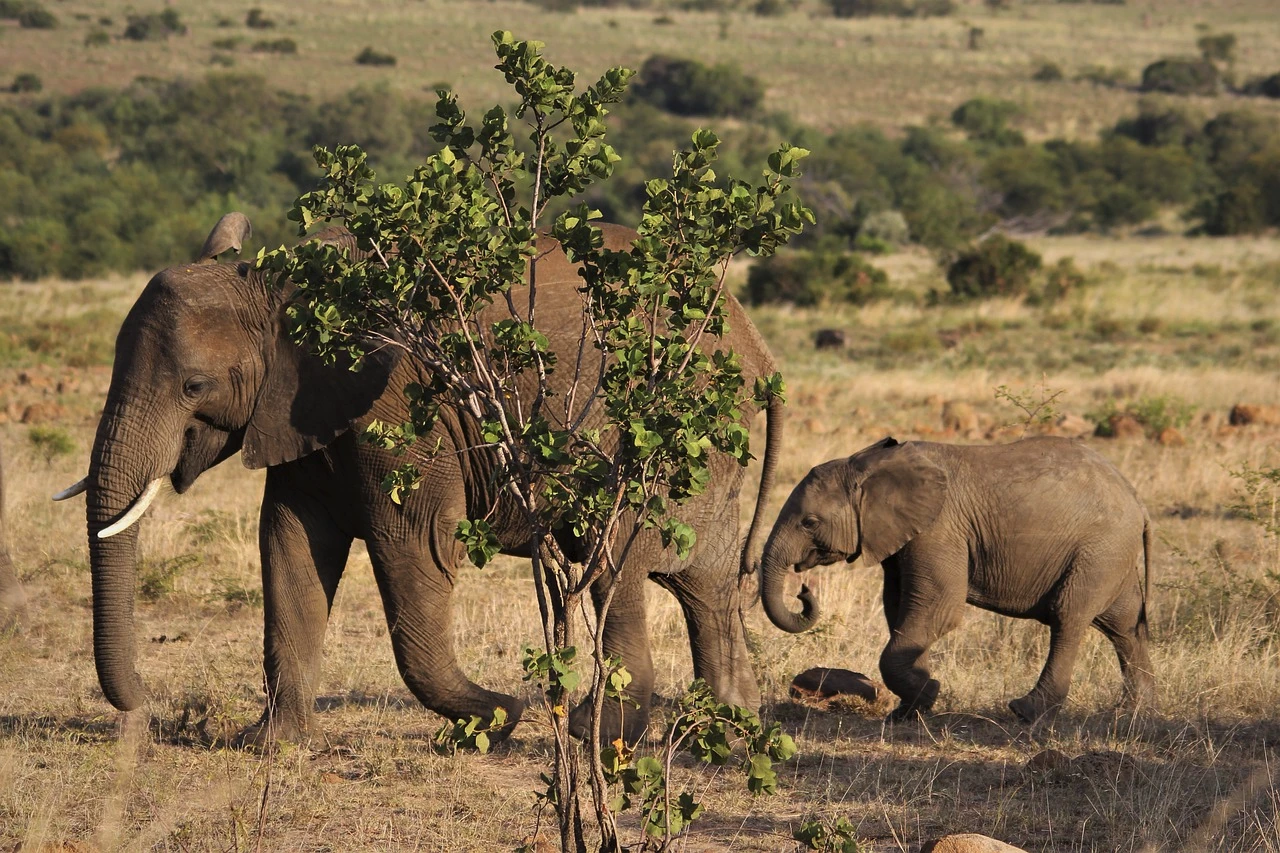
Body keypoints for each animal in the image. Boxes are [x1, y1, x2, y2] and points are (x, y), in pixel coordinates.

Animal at [57, 212, 778, 742]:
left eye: (193, 385)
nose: (148, 705)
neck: (288, 288)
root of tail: (759, 348)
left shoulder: (404, 405)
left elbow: (414, 545)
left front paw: (497, 718)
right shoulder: (300, 413)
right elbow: (290, 549)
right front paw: (269, 746)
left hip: (663, 429)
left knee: (614, 559)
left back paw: (593, 734)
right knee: (703, 584)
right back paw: (728, 728)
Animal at [752, 435, 1157, 722]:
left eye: (809, 522)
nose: (803, 591)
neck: (865, 464)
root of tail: (1138, 501)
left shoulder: (939, 529)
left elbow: (937, 610)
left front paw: (927, 693)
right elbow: (899, 610)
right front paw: (909, 709)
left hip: (1099, 549)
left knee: (1068, 617)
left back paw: (1026, 712)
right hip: (1109, 554)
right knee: (1124, 624)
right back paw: (1132, 710)